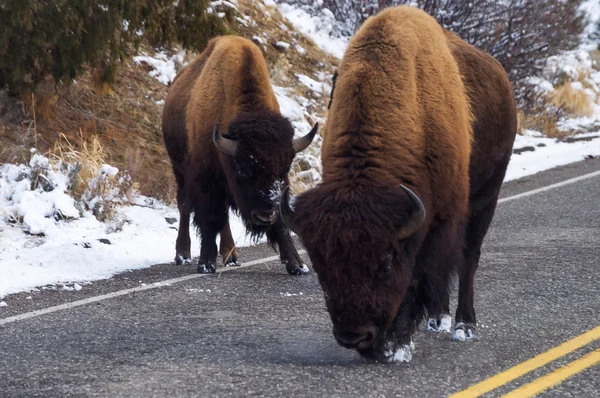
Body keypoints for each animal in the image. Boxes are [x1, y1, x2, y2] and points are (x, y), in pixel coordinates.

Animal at [159, 35, 318, 276]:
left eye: (284, 170)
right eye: (243, 171)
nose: (265, 215)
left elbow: (281, 223)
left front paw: (297, 265)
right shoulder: (206, 179)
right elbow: (210, 218)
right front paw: (205, 264)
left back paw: (231, 256)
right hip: (179, 170)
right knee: (185, 206)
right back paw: (183, 255)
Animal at [278, 5, 516, 364]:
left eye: (386, 264)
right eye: (320, 265)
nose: (353, 336)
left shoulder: (440, 219)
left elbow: (421, 275)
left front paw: (398, 346)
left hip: (486, 200)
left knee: (467, 258)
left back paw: (463, 325)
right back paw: (437, 319)